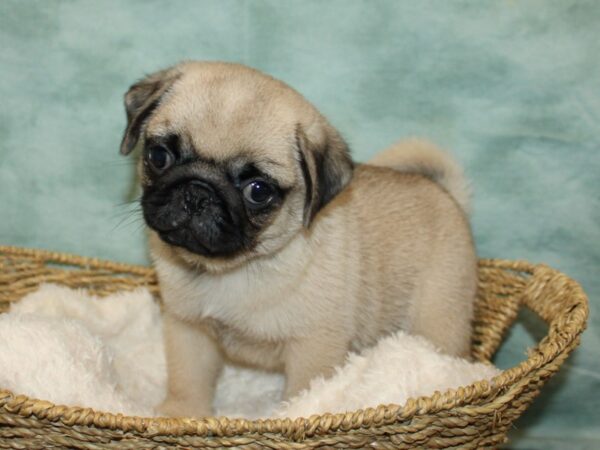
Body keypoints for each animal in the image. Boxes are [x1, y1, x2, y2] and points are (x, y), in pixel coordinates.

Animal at [119, 61, 476, 416]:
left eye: (258, 191)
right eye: (159, 156)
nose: (197, 191)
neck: (232, 270)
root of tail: (447, 195)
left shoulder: (313, 347)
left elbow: (306, 393)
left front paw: (296, 416)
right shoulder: (188, 329)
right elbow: (187, 379)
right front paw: (180, 414)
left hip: (437, 317)